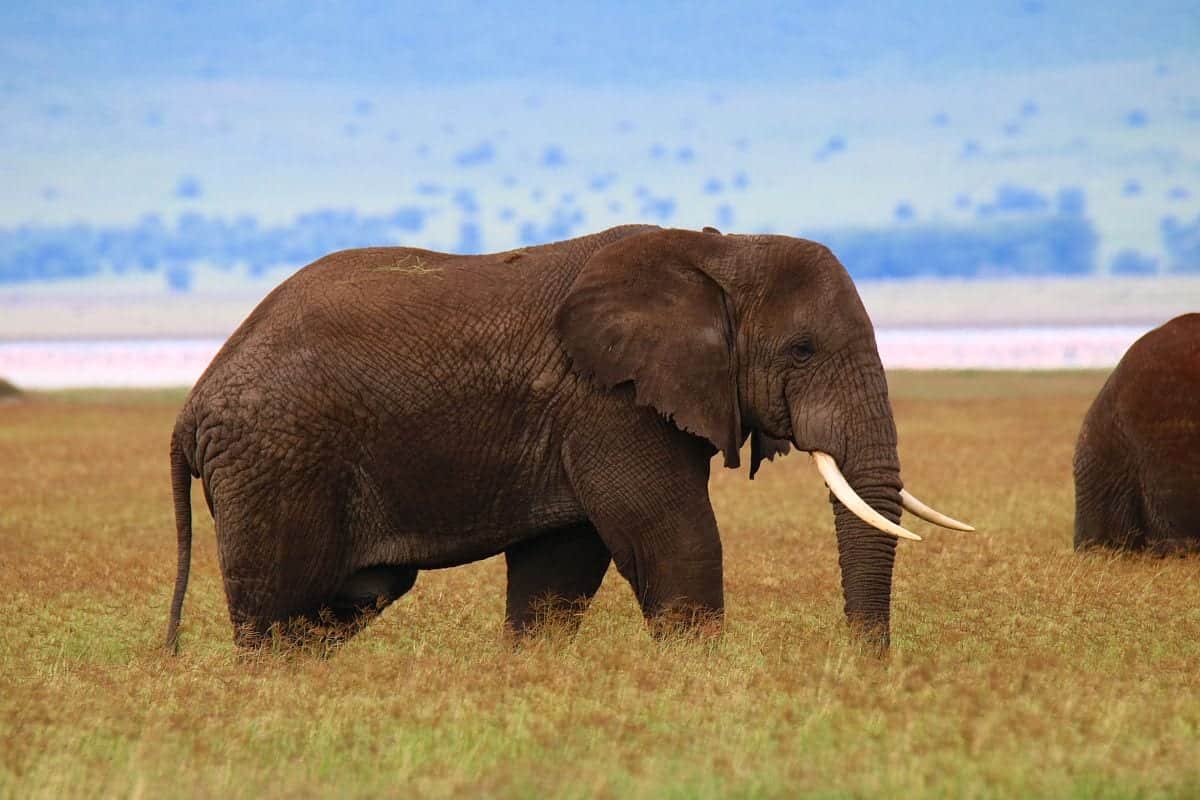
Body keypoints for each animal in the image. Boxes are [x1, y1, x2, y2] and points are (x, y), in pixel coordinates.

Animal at [166, 224, 974, 652]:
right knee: (277, 614)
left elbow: (558, 571)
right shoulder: (609, 404)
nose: (866, 671)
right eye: (803, 350)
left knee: (335, 608)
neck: (717, 252)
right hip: (276, 462)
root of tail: (192, 404)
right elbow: (673, 541)